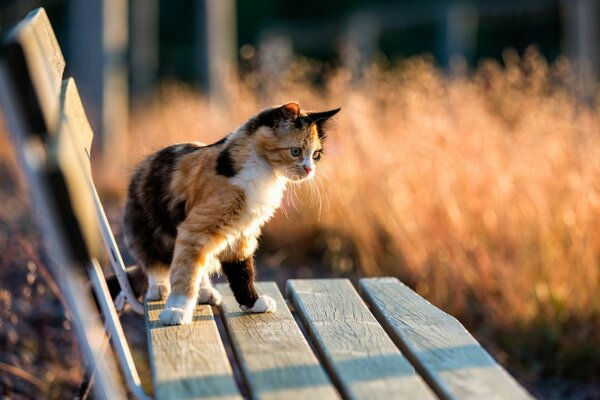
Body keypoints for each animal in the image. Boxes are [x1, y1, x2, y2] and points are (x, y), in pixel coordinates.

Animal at [124, 103, 340, 324]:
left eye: (316, 155)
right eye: (295, 151)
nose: (309, 169)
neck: (263, 173)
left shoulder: (242, 231)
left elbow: (241, 270)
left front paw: (252, 302)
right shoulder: (195, 229)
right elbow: (185, 272)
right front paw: (177, 309)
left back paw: (205, 291)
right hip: (148, 229)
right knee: (155, 262)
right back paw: (159, 288)